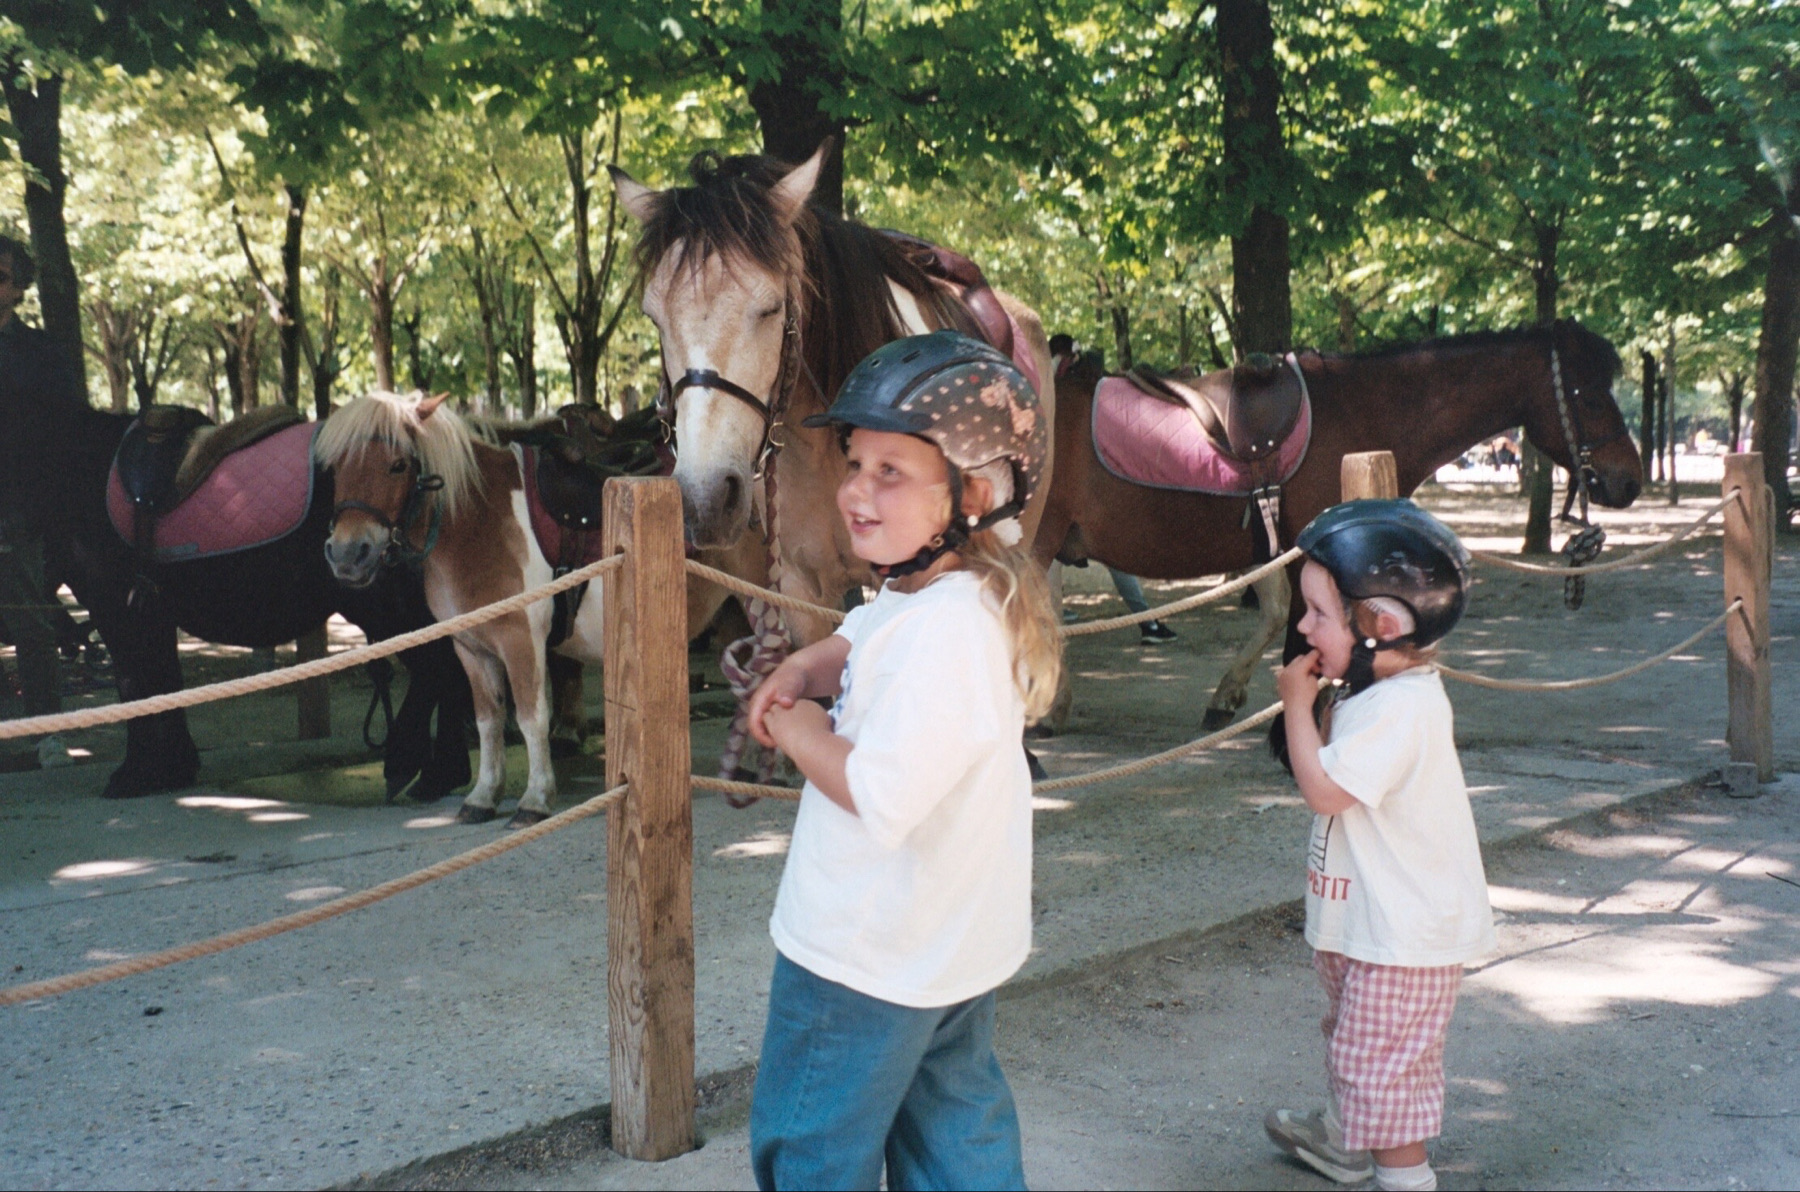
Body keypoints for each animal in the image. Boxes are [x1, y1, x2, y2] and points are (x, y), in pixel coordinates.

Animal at [49, 406, 474, 801]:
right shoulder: (150, 613)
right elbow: (163, 683)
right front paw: (172, 767)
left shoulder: (116, 607)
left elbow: (136, 684)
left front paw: (136, 774)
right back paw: (443, 772)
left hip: (384, 603)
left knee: (439, 666)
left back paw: (415, 765)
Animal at [318, 391, 761, 828]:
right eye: (336, 468)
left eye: (397, 465)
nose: (347, 555)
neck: (479, 520)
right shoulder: (472, 648)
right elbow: (488, 721)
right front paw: (483, 797)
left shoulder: (521, 642)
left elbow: (532, 718)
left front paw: (534, 800)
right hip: (732, 612)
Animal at [1037, 321, 1645, 727]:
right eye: (1590, 396)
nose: (1629, 480)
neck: (1361, 409)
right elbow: (1305, 634)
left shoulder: (1275, 546)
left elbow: (1287, 620)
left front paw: (1231, 700)